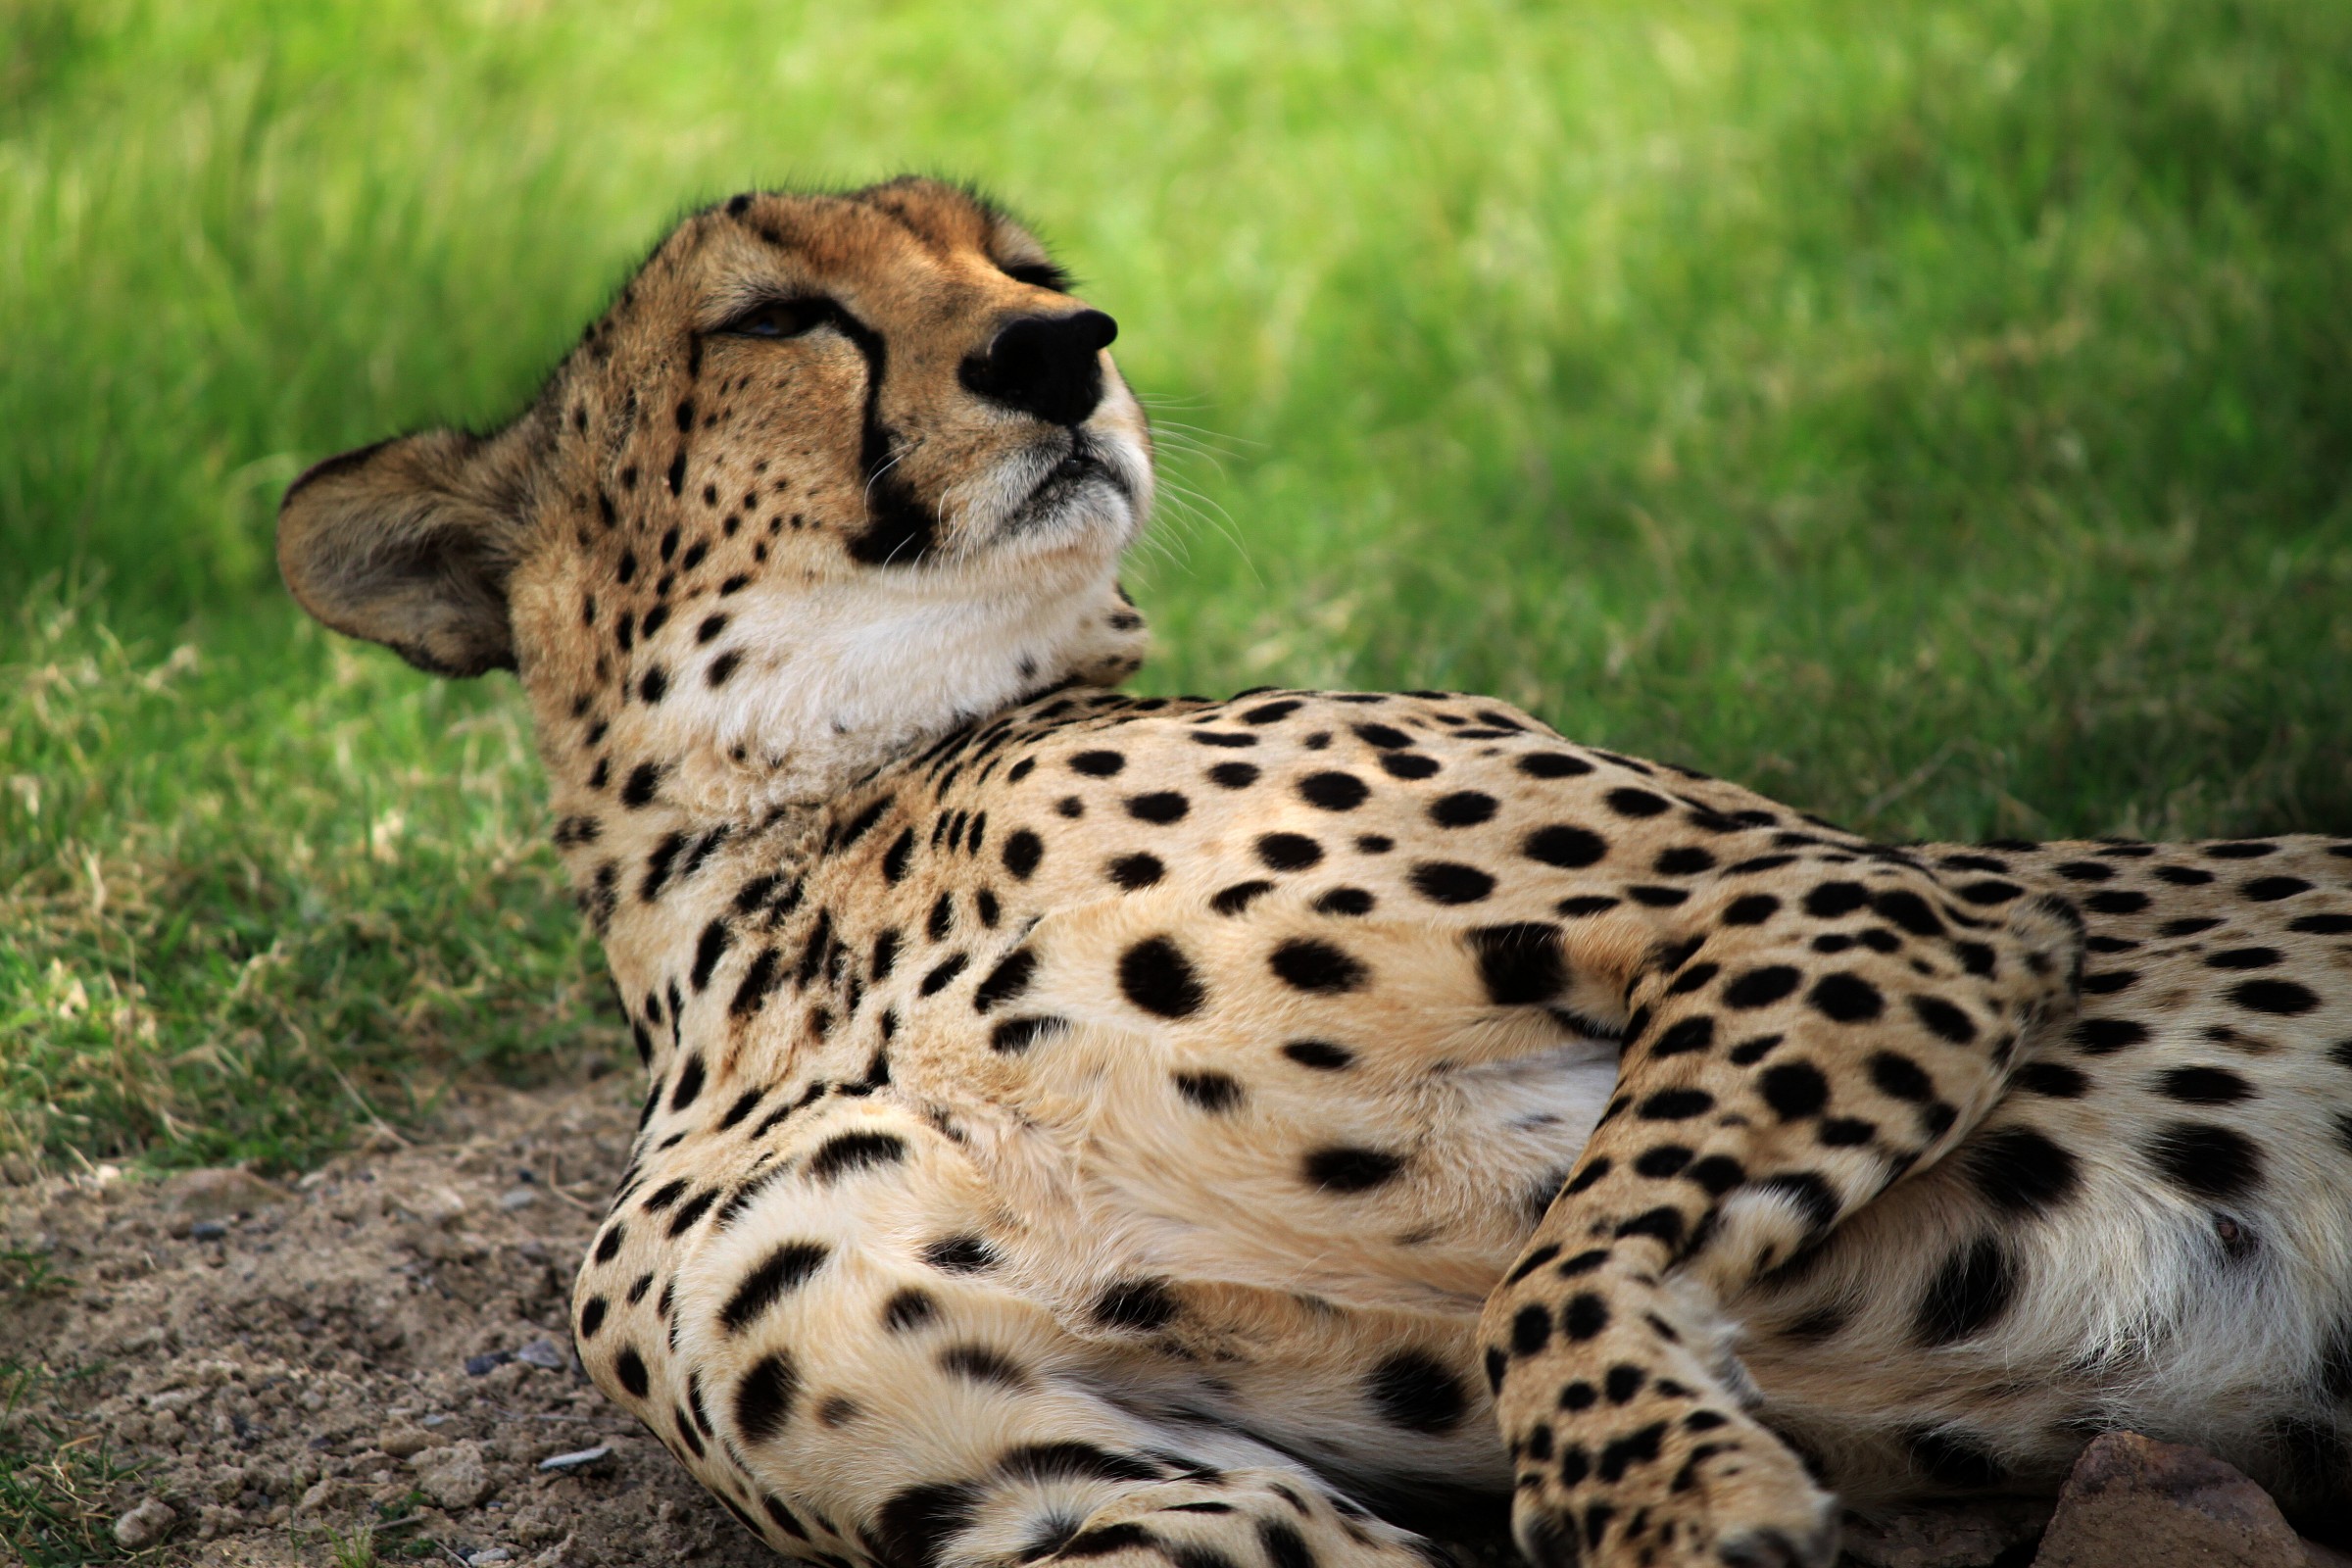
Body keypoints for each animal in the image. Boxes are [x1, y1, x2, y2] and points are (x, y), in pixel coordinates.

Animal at [275, 177, 2352, 1568]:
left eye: (1025, 269)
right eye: (777, 315)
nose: (1067, 350)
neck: (808, 858)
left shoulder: (1873, 899)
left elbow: (1562, 1265)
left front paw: (1669, 1491)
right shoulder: (1102, 1508)